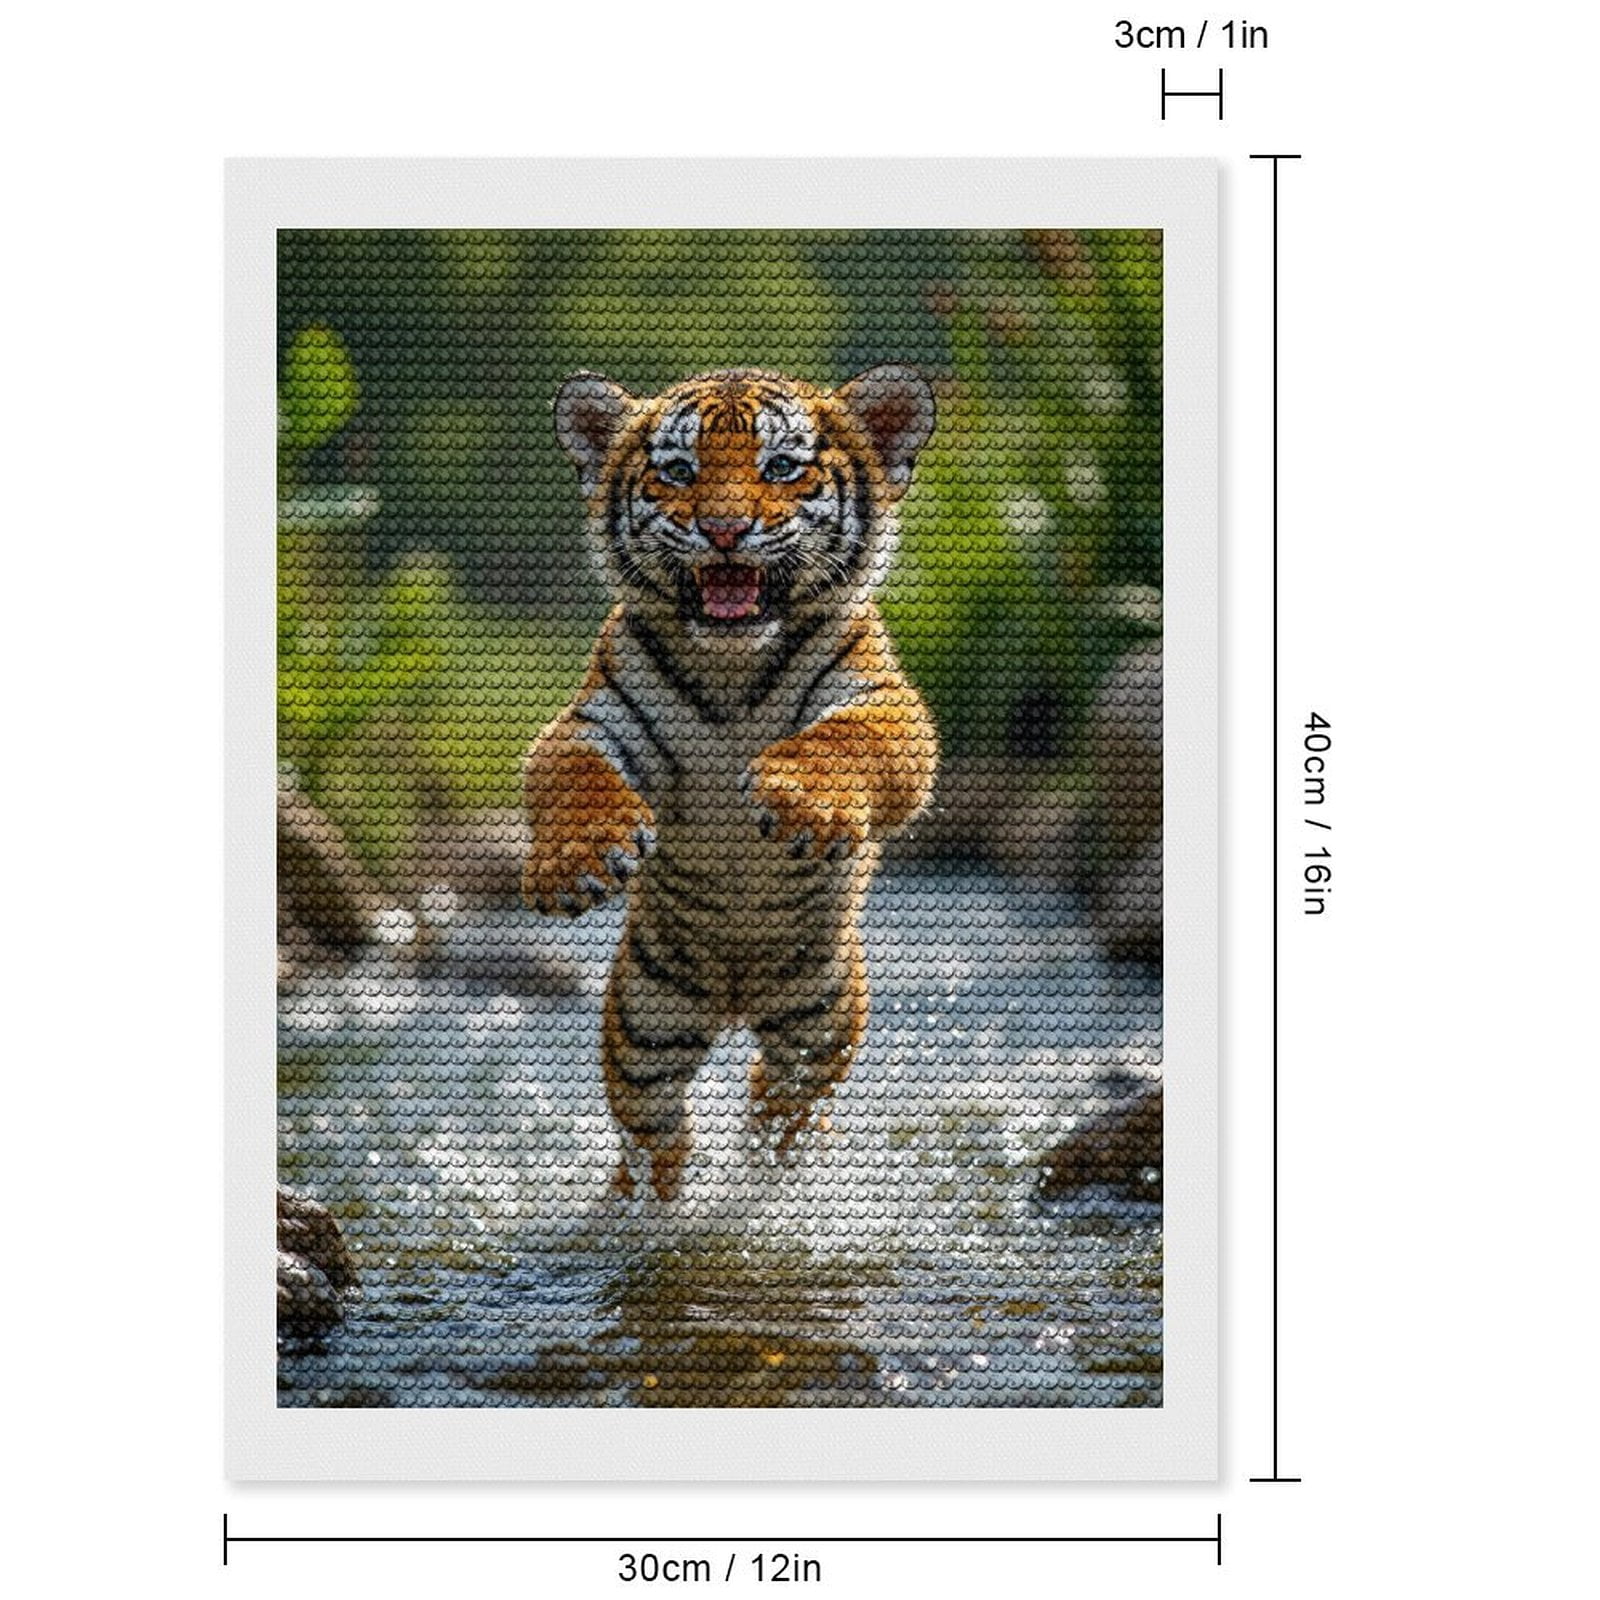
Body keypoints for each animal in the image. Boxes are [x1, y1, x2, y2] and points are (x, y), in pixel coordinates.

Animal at [522, 365, 939, 1200]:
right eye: (679, 471)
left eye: (780, 467)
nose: (721, 530)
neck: (732, 669)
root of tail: (737, 997)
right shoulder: (595, 722)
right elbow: (571, 775)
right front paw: (579, 859)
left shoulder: (883, 702)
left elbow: (848, 741)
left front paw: (803, 798)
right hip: (645, 1017)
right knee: (653, 1127)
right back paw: (645, 1206)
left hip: (822, 1015)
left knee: (781, 1100)